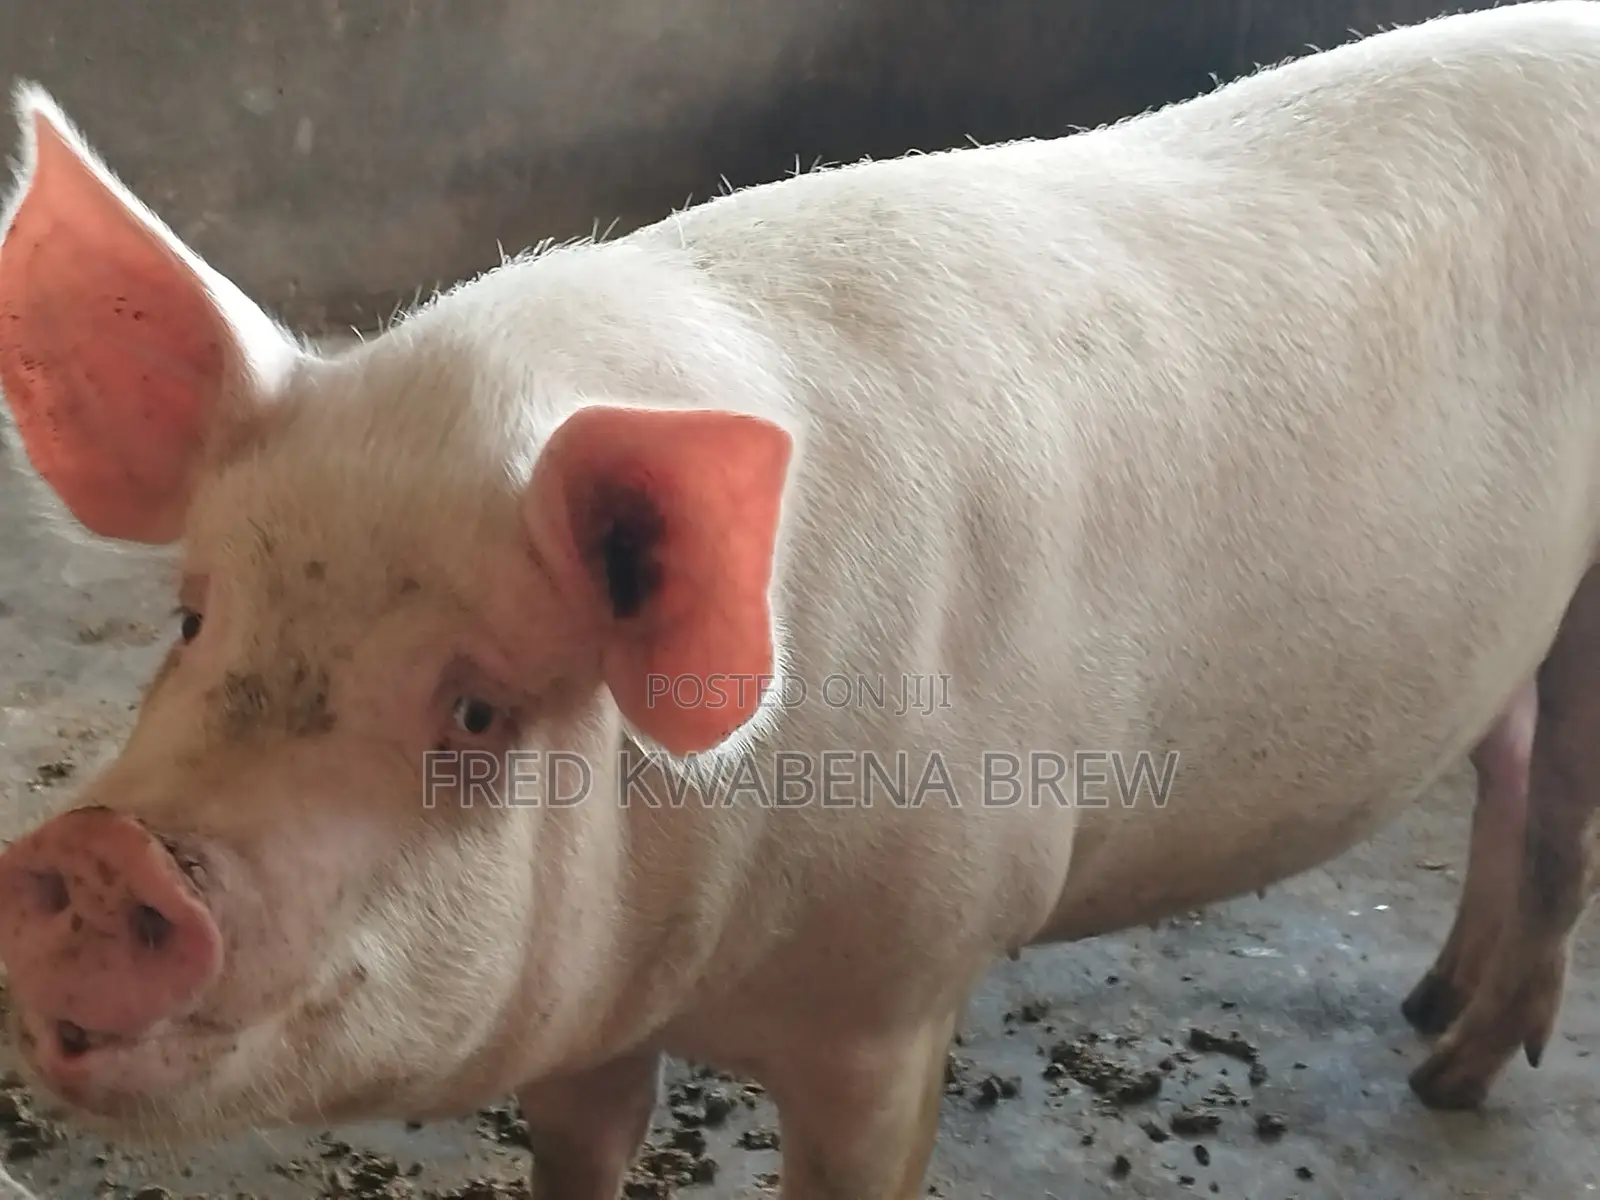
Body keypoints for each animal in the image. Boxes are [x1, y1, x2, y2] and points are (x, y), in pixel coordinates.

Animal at [2, 2, 1600, 1196]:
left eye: (475, 709)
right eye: (193, 620)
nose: (101, 851)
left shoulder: (903, 989)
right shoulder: (589, 1000)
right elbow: (582, 1148)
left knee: (1561, 819)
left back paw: (1449, 1081)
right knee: (1511, 755)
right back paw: (1428, 1010)